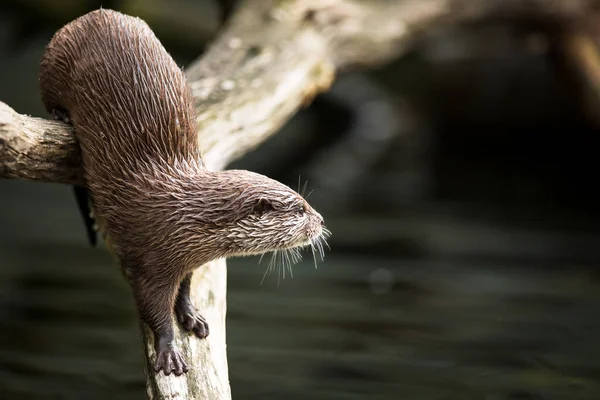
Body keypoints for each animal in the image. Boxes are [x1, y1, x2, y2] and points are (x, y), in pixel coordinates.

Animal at [38, 10, 328, 378]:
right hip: (54, 60)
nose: (321, 219)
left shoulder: (186, 258)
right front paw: (168, 350)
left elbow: (186, 286)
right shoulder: (150, 258)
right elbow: (154, 308)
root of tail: (96, 13)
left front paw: (191, 314)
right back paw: (60, 113)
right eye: (300, 208)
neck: (182, 217)